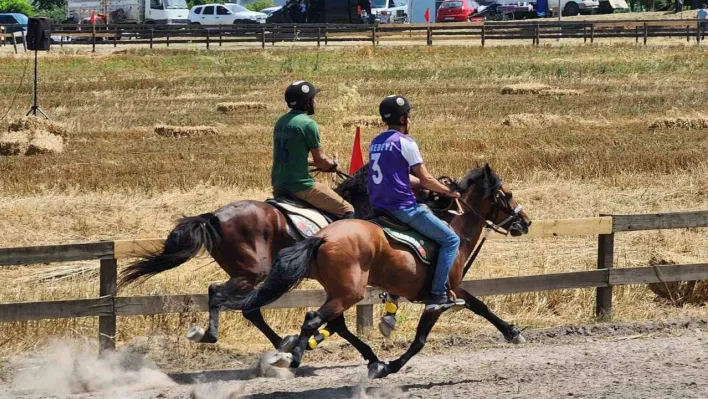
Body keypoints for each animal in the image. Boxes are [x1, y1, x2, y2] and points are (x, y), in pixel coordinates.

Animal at [216, 164, 532, 376]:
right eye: (507, 194)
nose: (525, 222)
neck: (453, 227)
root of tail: (324, 236)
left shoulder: (454, 288)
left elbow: (480, 306)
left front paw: (512, 332)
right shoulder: (439, 298)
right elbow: (420, 340)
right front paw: (391, 365)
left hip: (337, 290)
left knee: (329, 322)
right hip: (349, 292)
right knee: (314, 319)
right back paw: (296, 354)